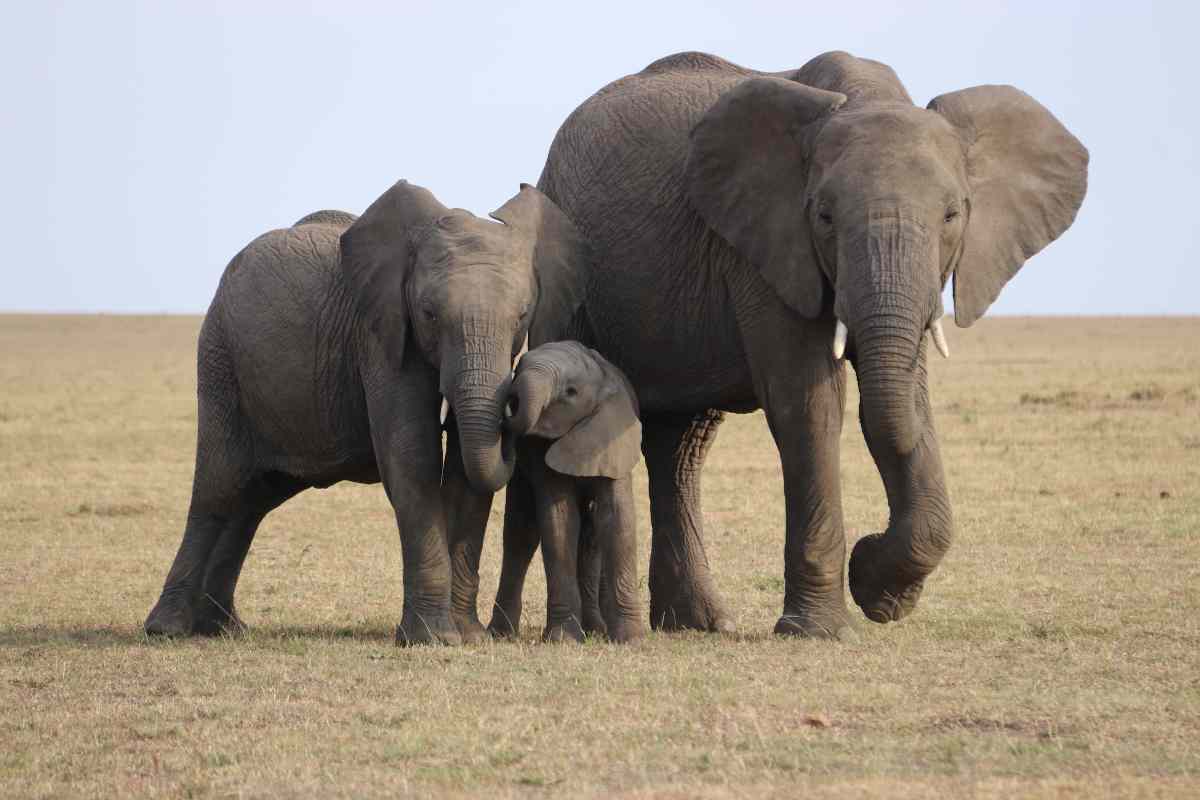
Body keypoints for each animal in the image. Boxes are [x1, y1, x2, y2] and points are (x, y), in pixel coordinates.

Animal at [142, 179, 588, 642]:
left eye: (522, 316)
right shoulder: (379, 334)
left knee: (252, 500)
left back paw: (223, 628)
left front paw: (468, 637)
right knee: (218, 488)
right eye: (429, 314)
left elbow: (465, 472)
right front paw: (433, 639)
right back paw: (168, 628)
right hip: (220, 359)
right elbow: (412, 456)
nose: (514, 409)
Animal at [482, 340, 648, 642]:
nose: (510, 400)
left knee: (591, 536)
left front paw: (631, 640)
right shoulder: (538, 448)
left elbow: (617, 518)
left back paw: (595, 629)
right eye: (518, 368)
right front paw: (563, 639)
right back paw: (501, 634)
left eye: (571, 392)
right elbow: (559, 520)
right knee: (520, 533)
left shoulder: (612, 438)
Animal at [518, 50, 1089, 638]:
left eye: (953, 215)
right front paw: (824, 625)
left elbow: (908, 400)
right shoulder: (763, 246)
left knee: (682, 445)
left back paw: (699, 624)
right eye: (824, 216)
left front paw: (881, 594)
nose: (869, 552)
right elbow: (811, 403)